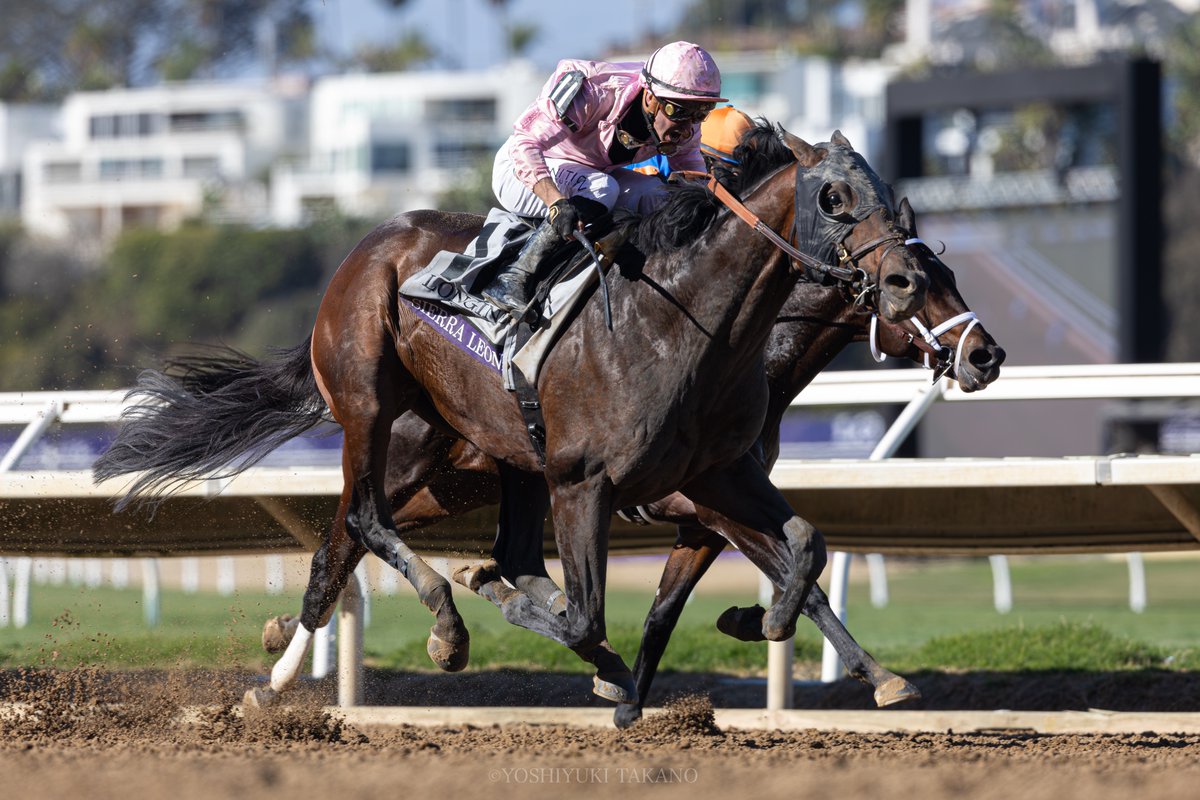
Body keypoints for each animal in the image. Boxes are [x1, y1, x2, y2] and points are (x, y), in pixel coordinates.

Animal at [95, 127, 930, 708]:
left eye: (890, 193)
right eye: (832, 198)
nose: (905, 283)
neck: (682, 326)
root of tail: (368, 246)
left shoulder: (714, 476)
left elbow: (803, 548)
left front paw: (769, 630)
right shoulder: (588, 482)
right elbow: (591, 616)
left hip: (483, 462)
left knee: (365, 538)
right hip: (373, 407)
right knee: (363, 521)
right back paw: (433, 628)